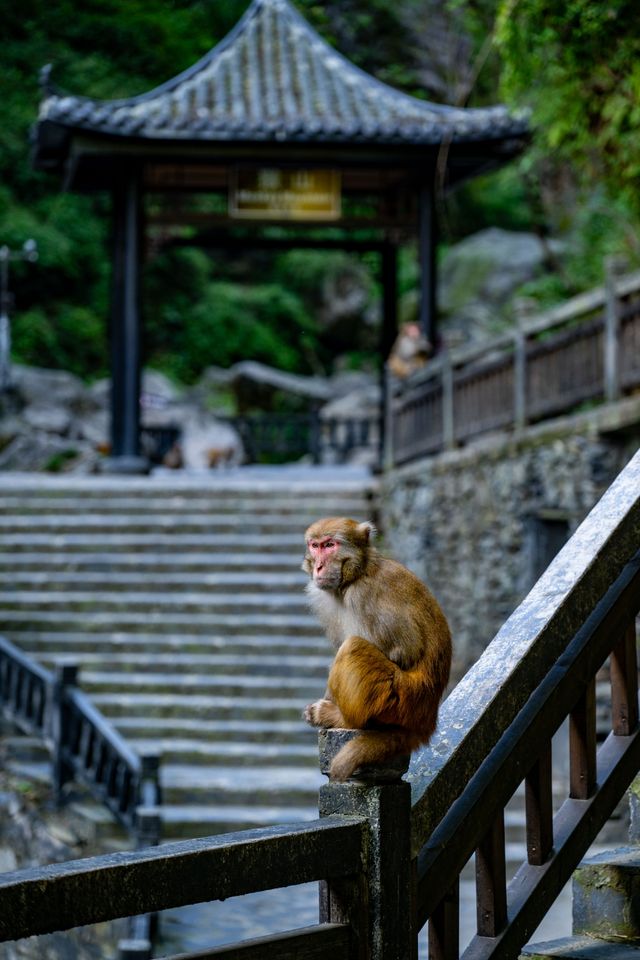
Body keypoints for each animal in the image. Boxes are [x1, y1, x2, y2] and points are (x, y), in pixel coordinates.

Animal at [302, 516, 452, 780]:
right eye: (315, 546)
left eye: (330, 545)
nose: (319, 566)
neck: (357, 574)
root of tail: (427, 720)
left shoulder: (364, 594)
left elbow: (404, 651)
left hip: (398, 699)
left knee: (353, 646)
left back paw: (344, 719)